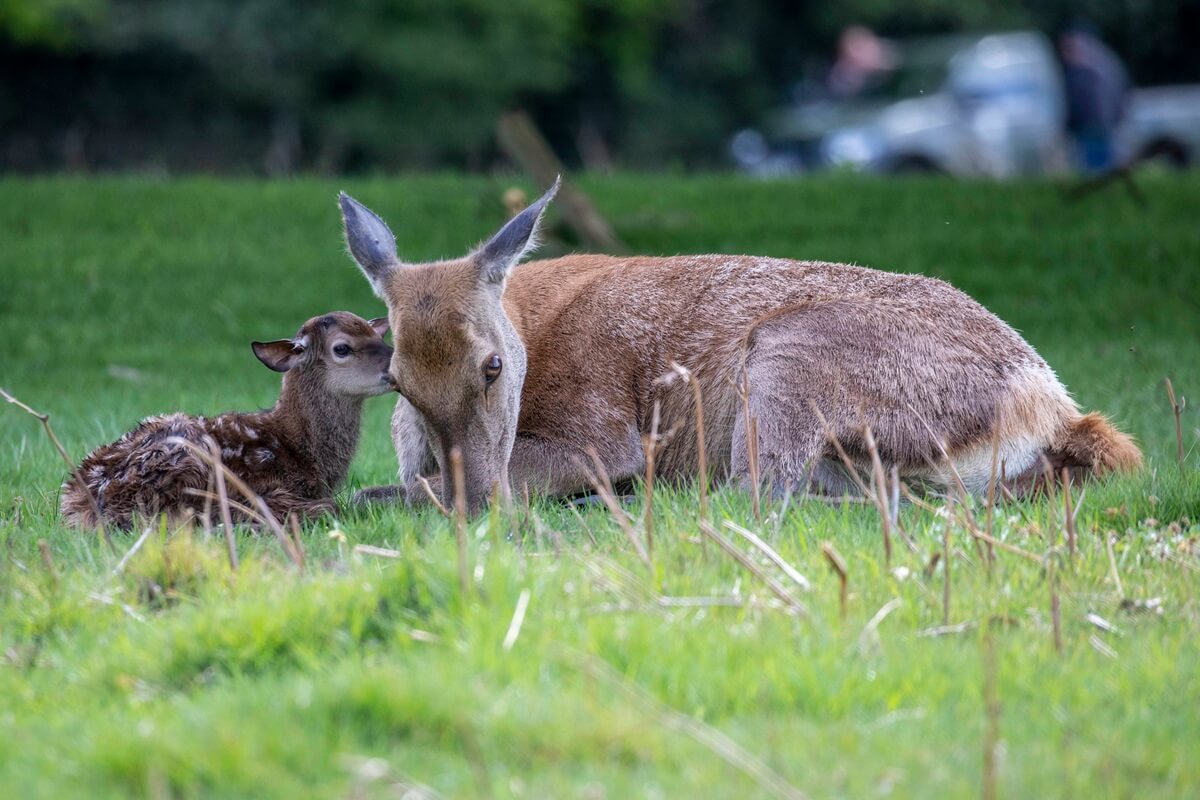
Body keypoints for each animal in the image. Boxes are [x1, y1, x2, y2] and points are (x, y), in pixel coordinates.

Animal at [63, 311, 391, 532]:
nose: (396, 360)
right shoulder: (268, 489)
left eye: (379, 337)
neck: (304, 451)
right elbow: (331, 506)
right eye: (342, 348)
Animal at [340, 181, 1142, 513]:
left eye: (493, 366)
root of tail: (1053, 411)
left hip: (793, 351)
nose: (478, 500)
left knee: (759, 491)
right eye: (397, 380)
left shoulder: (602, 427)